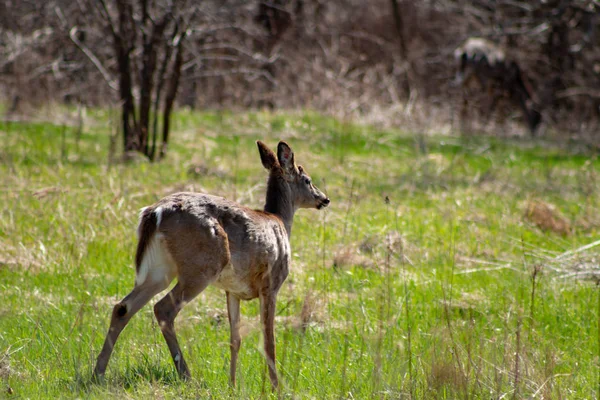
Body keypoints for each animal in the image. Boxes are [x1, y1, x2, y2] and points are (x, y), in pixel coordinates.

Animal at [92, 139, 330, 390]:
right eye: (308, 180)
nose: (324, 199)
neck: (279, 221)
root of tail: (155, 212)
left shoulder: (232, 290)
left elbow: (235, 338)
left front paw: (233, 385)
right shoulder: (271, 284)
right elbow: (269, 339)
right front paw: (276, 387)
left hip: (160, 269)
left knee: (123, 307)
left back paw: (98, 373)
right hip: (201, 266)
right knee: (163, 308)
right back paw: (186, 375)